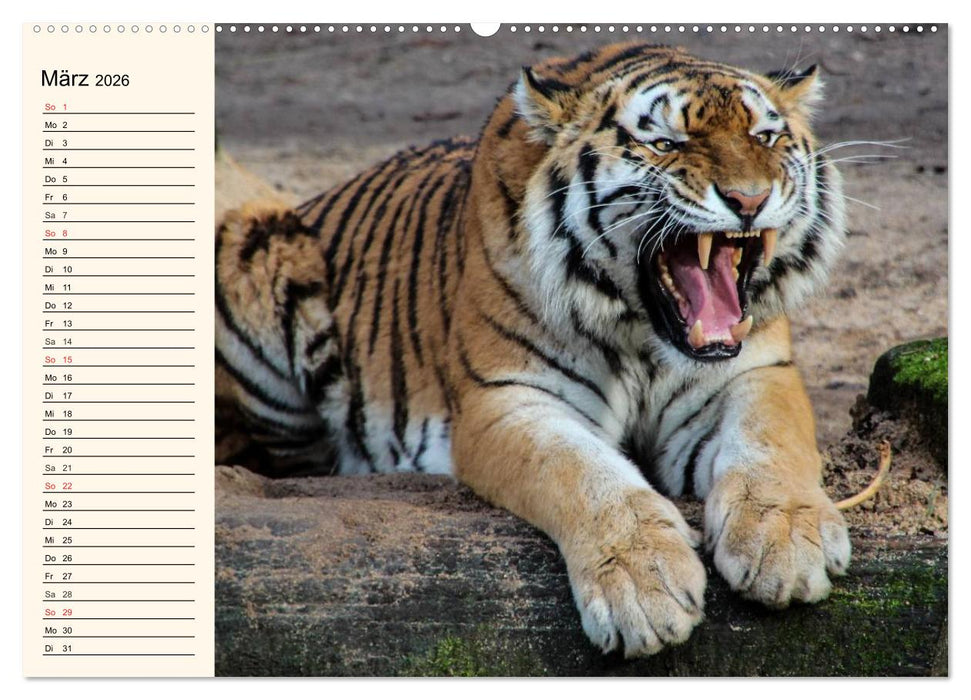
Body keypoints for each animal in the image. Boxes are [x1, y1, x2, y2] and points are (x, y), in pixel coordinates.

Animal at [215, 42, 852, 658]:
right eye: (666, 144)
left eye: (763, 137)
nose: (750, 199)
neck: (644, 335)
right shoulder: (508, 398)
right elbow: (584, 473)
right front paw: (643, 587)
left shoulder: (756, 372)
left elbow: (771, 441)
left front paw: (785, 543)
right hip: (257, 246)